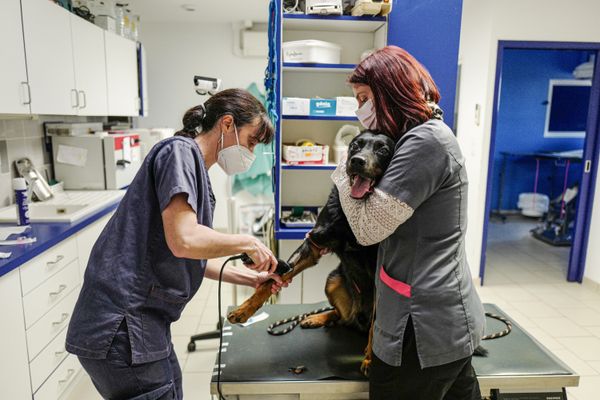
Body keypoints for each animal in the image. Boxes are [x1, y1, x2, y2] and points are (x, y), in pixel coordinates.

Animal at [227, 130, 396, 376]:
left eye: (383, 150)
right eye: (355, 145)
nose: (357, 161)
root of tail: (358, 320)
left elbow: (378, 325)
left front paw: (370, 360)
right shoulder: (314, 245)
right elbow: (269, 281)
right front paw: (244, 309)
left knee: (366, 323)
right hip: (333, 281)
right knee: (341, 317)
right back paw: (316, 317)